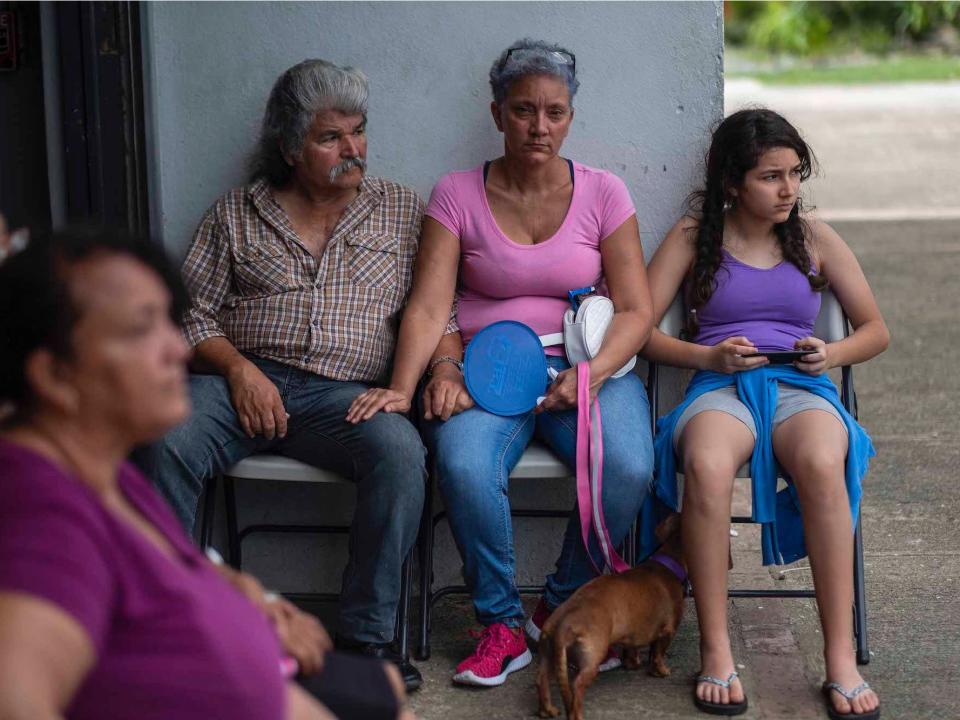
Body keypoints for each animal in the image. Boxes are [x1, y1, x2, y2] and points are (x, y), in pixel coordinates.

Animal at [536, 512, 688, 720]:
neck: (669, 562)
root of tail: (561, 625)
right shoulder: (668, 631)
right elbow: (658, 653)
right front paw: (661, 671)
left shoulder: (631, 634)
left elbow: (633, 649)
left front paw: (633, 663)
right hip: (592, 655)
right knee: (577, 686)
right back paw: (578, 715)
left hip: (548, 654)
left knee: (542, 679)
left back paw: (547, 710)